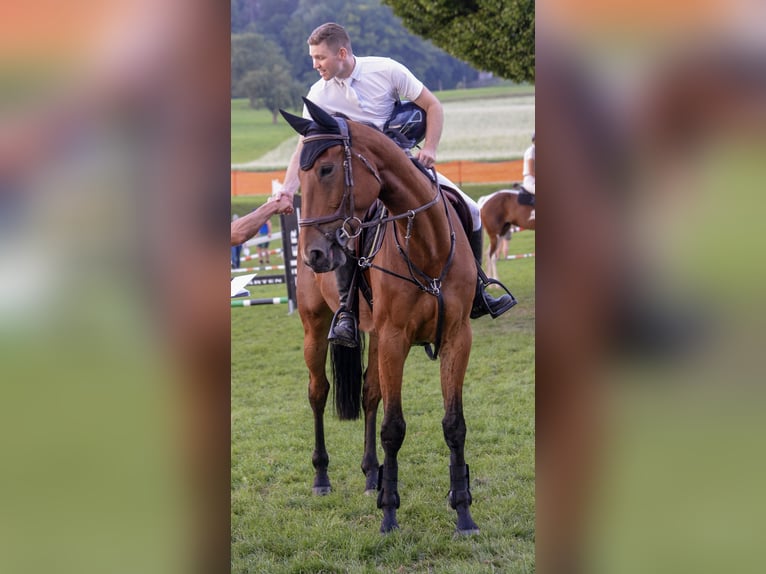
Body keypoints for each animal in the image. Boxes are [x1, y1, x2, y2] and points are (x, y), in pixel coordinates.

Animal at [280, 97, 480, 535]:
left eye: (326, 169)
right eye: (299, 174)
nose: (313, 253)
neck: (427, 244)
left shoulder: (456, 337)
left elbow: (454, 424)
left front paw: (463, 511)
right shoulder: (394, 338)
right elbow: (394, 428)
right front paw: (389, 513)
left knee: (370, 394)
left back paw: (372, 474)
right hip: (315, 328)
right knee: (318, 392)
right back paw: (322, 476)